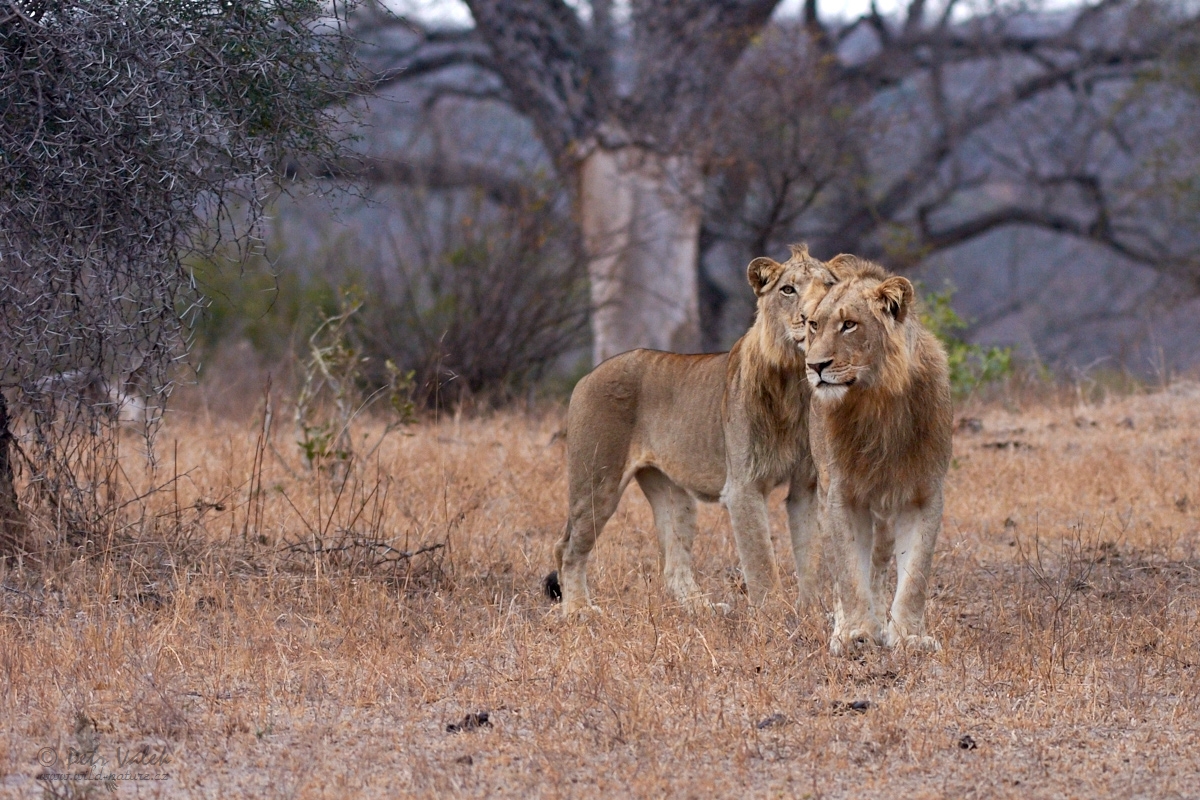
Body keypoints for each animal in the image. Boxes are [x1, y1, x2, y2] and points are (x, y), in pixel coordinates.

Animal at [547, 244, 820, 614]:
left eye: (827, 287)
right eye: (788, 290)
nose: (810, 317)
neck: (794, 381)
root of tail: (589, 375)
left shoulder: (806, 483)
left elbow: (813, 558)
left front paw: (814, 613)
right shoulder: (743, 487)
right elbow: (762, 562)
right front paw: (775, 616)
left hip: (674, 494)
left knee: (673, 567)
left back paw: (705, 609)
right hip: (597, 481)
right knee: (567, 548)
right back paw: (579, 610)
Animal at [801, 257, 950, 657]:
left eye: (849, 324)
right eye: (814, 325)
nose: (815, 366)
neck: (877, 402)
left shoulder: (924, 494)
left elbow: (915, 575)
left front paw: (908, 637)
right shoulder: (842, 495)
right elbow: (850, 573)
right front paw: (855, 633)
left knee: (881, 563)